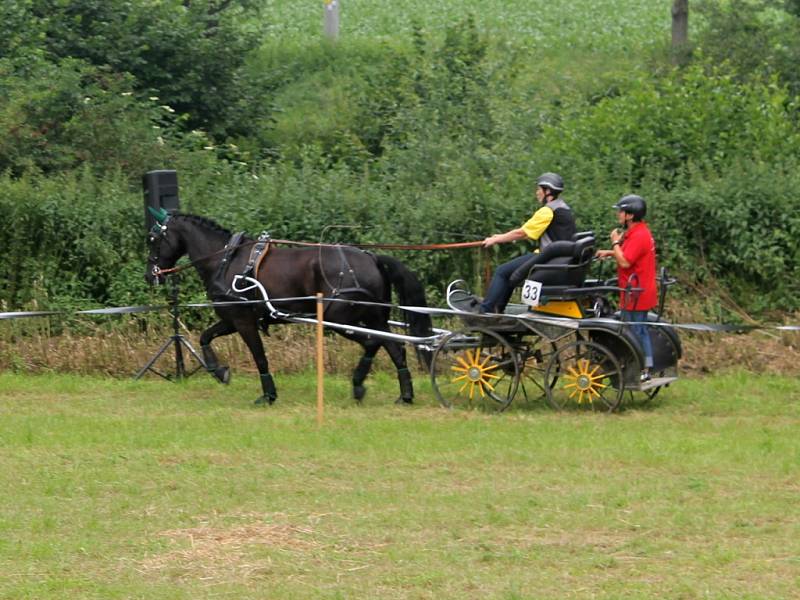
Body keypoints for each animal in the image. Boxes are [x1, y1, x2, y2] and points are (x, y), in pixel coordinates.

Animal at [144, 213, 432, 406]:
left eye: (154, 239)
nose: (150, 275)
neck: (225, 261)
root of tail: (371, 258)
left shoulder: (243, 320)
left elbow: (259, 356)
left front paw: (268, 394)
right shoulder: (230, 319)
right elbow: (205, 337)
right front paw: (220, 371)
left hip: (337, 317)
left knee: (372, 343)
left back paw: (359, 385)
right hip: (375, 318)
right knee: (395, 348)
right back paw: (405, 395)